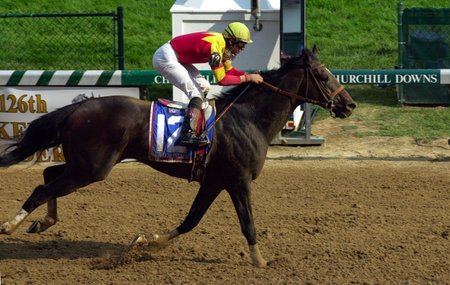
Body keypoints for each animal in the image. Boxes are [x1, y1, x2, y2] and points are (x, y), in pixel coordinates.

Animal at [0, 47, 356, 266]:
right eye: (323, 76)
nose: (349, 104)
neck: (248, 119)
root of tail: (78, 106)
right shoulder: (238, 180)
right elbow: (247, 223)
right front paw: (261, 261)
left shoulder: (214, 181)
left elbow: (190, 220)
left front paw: (148, 241)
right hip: (92, 168)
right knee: (42, 188)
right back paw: (11, 226)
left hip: (84, 164)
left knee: (48, 176)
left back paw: (43, 222)